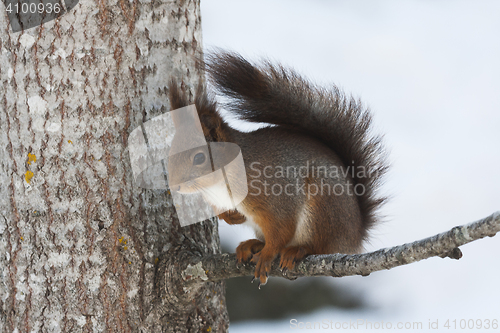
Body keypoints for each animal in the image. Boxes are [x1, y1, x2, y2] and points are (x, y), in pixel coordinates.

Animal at [168, 50, 386, 286]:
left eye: (199, 157)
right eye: (170, 152)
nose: (174, 186)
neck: (218, 184)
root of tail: (355, 234)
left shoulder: (275, 199)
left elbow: (281, 230)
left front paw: (267, 256)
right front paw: (233, 218)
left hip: (322, 207)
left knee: (319, 246)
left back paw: (296, 250)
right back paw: (252, 244)